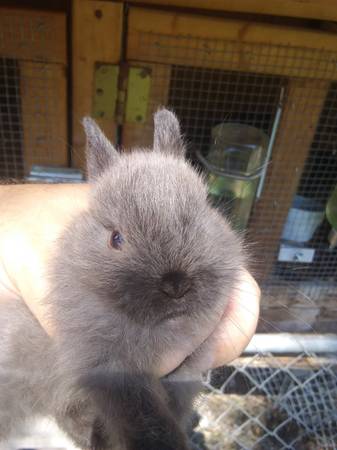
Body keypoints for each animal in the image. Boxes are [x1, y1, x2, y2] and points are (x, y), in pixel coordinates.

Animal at [0, 110, 243, 450]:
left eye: (199, 221)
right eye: (116, 239)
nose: (176, 284)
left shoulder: (185, 371)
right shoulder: (109, 369)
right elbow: (145, 419)